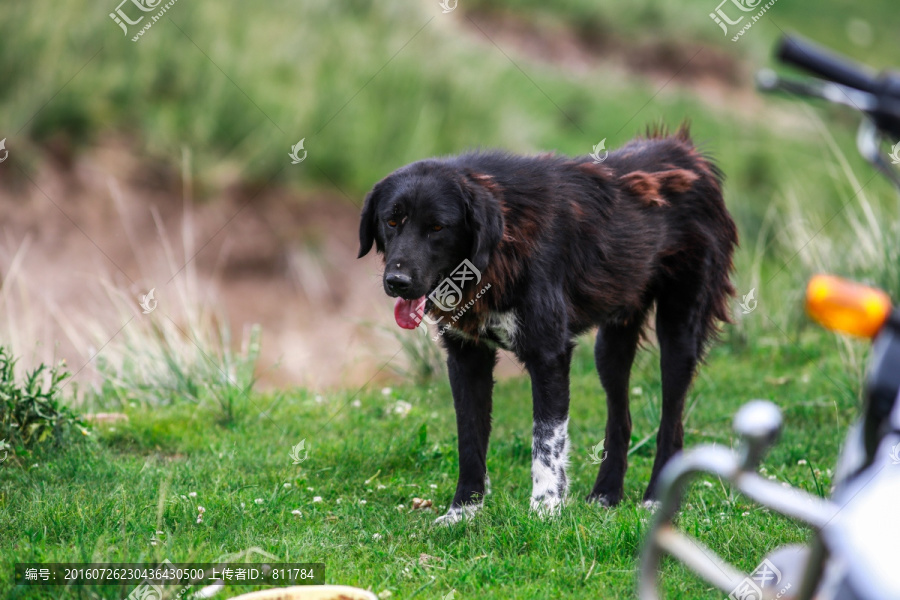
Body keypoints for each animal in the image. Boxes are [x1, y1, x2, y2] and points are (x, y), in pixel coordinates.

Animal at [356, 127, 736, 524]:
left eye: (437, 227)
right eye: (392, 221)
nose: (397, 282)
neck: (498, 248)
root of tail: (687, 153)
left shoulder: (549, 354)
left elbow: (546, 441)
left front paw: (546, 508)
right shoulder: (466, 356)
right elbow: (469, 439)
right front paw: (464, 510)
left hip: (678, 335)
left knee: (671, 422)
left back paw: (656, 499)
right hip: (610, 347)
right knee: (620, 419)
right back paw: (605, 494)